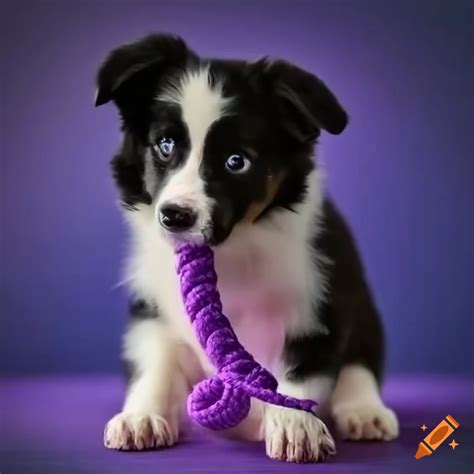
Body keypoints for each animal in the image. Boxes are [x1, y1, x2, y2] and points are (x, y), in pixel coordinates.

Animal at [94, 33, 398, 462]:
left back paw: (365, 410)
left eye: (236, 161)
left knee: (360, 363)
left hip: (362, 308)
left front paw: (295, 422)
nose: (174, 217)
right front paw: (141, 416)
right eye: (165, 145)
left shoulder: (322, 304)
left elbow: (304, 368)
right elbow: (155, 361)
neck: (234, 249)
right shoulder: (152, 307)